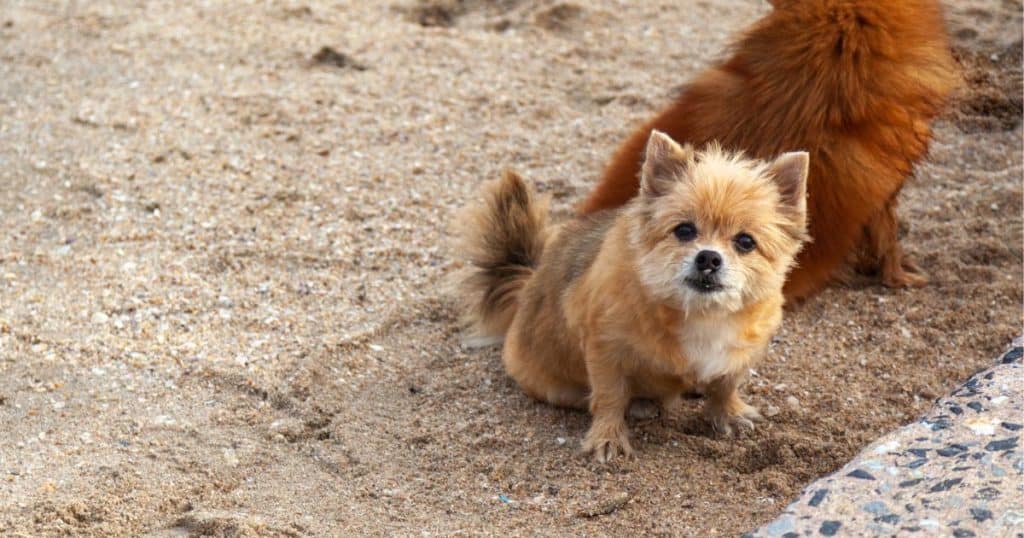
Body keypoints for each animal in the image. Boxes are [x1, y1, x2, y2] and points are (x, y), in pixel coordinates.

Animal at [456, 132, 806, 459]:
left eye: (746, 242)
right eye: (684, 230)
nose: (708, 258)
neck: (699, 313)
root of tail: (529, 284)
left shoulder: (737, 356)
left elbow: (725, 385)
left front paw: (728, 414)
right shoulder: (606, 351)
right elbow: (609, 397)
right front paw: (607, 438)